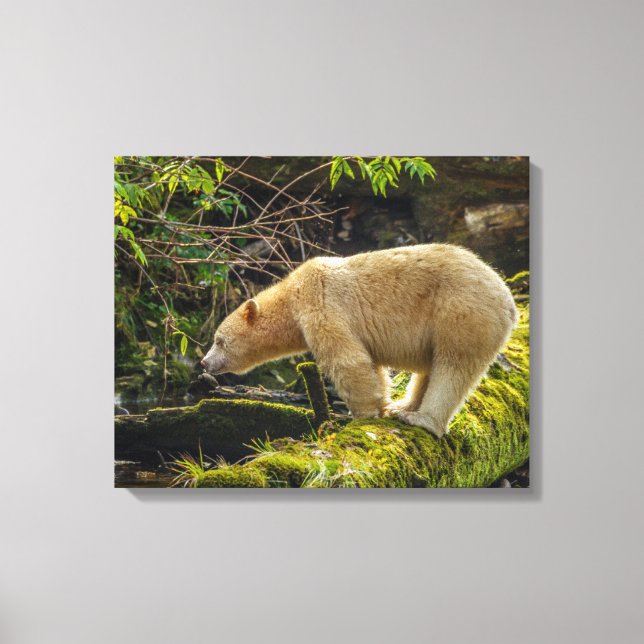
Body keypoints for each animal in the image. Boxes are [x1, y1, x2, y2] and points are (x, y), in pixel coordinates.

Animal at [201, 244, 518, 438]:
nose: (204, 362)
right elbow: (371, 365)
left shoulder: (321, 304)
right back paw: (403, 407)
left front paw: (362, 416)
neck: (291, 296)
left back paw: (422, 419)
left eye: (219, 340)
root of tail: (509, 301)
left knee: (453, 366)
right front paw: (382, 406)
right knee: (431, 367)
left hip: (462, 311)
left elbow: (348, 361)